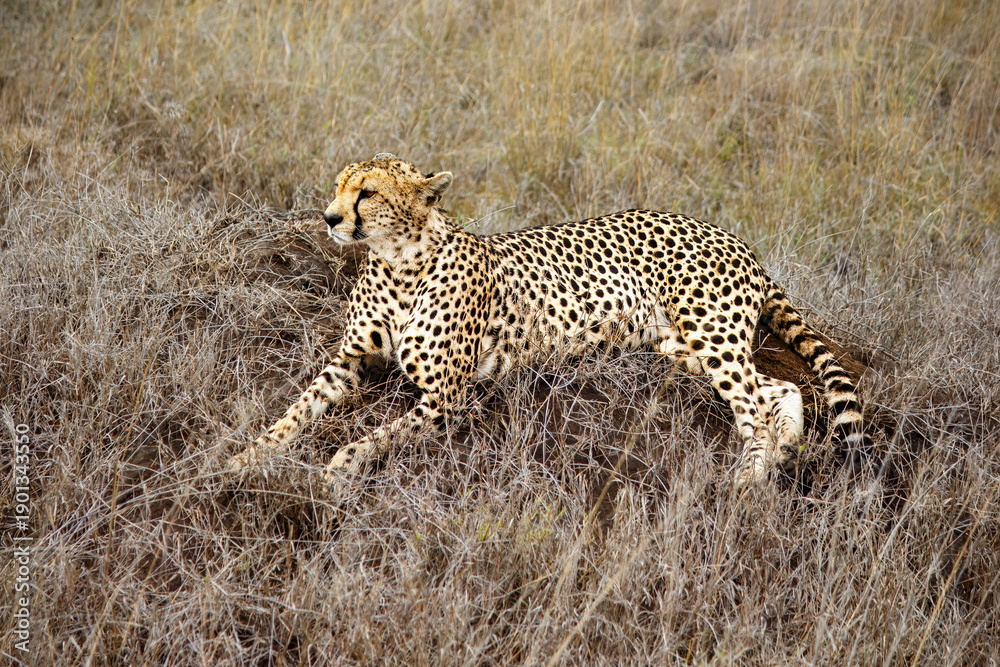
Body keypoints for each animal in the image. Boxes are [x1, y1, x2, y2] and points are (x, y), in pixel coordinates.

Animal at [228, 153, 869, 488]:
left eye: (367, 193)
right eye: (338, 186)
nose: (330, 217)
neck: (399, 263)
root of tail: (726, 231)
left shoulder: (446, 395)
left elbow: (377, 436)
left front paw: (339, 464)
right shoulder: (350, 360)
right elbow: (295, 411)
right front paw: (245, 456)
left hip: (710, 334)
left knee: (754, 405)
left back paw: (752, 477)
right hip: (676, 345)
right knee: (780, 388)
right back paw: (781, 453)